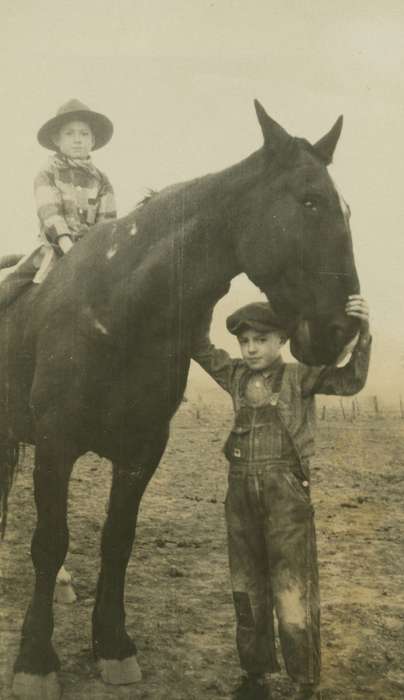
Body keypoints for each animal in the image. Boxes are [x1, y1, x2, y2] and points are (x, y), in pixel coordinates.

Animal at [0, 101, 360, 696]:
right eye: (310, 200)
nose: (341, 330)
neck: (113, 309)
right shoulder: (55, 446)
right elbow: (49, 540)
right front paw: (35, 659)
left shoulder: (143, 450)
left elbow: (117, 539)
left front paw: (113, 646)